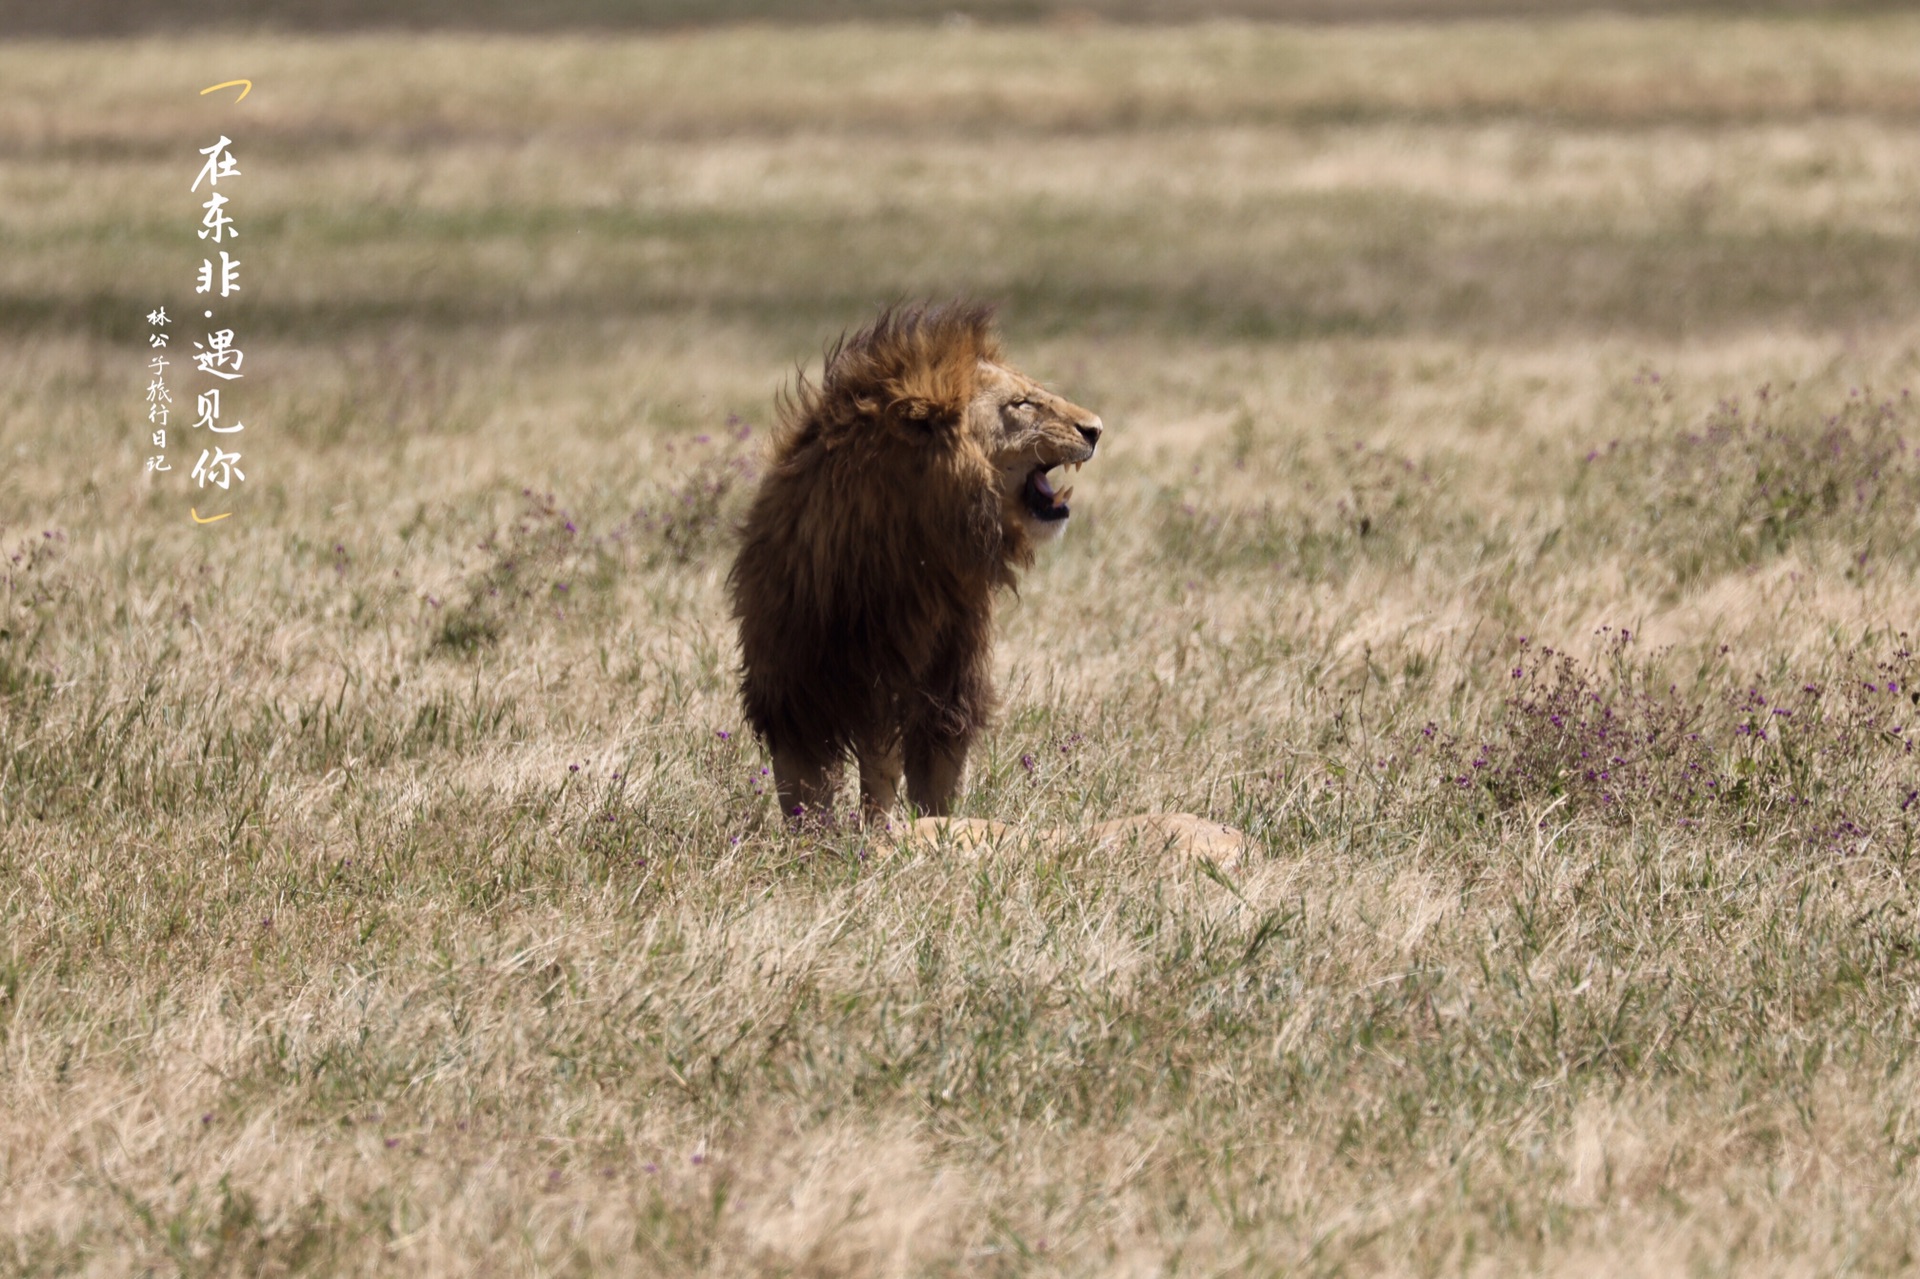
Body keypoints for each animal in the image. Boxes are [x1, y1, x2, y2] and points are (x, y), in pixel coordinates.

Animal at [725, 301, 1105, 818]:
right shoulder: (800, 684)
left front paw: (928, 830)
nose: (1096, 429)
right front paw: (826, 835)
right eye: (1022, 404)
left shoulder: (946, 686)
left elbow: (931, 785)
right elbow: (810, 794)